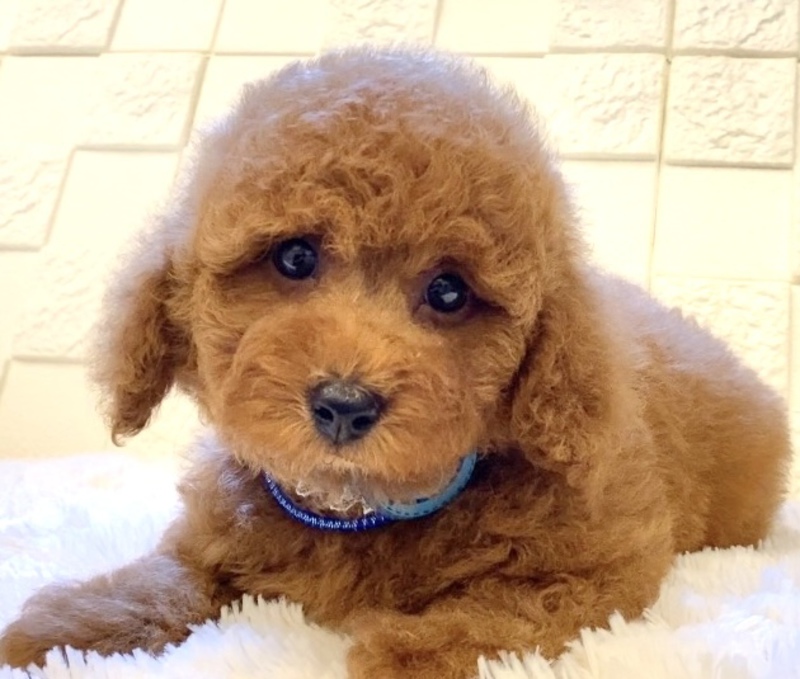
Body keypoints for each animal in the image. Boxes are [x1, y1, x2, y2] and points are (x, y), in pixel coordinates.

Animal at [0, 47, 790, 679]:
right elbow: (169, 575)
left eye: (449, 292)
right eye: (294, 257)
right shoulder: (217, 537)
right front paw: (68, 626)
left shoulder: (602, 568)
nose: (345, 404)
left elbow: (515, 609)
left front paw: (411, 651)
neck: (359, 509)